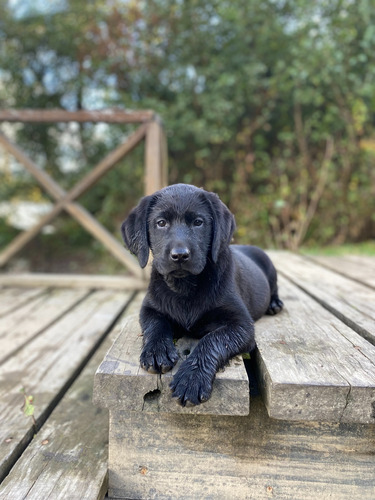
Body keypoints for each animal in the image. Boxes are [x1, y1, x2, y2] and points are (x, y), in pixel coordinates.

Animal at [122, 184, 284, 406]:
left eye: (198, 222)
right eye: (161, 223)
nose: (180, 255)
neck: (185, 286)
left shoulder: (242, 325)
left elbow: (212, 339)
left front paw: (192, 377)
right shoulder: (149, 308)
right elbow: (155, 325)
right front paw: (156, 350)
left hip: (270, 267)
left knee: (274, 288)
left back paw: (275, 304)